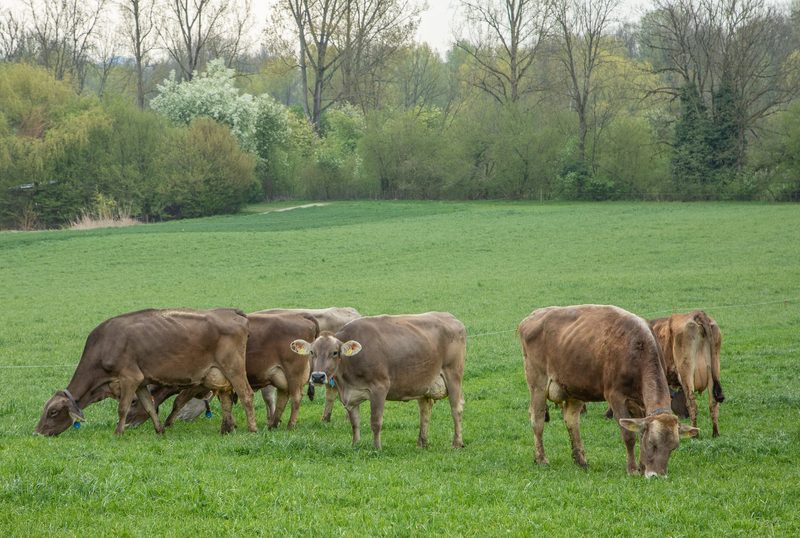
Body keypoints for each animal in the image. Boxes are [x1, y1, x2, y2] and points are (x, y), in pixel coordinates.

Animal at [35, 308, 257, 436]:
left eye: (53, 412)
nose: (37, 433)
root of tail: (232, 312)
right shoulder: (141, 382)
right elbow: (150, 407)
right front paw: (159, 430)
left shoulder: (129, 377)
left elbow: (122, 408)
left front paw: (118, 432)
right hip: (219, 374)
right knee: (227, 399)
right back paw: (226, 429)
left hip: (233, 368)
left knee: (246, 394)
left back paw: (252, 428)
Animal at [290, 312, 466, 449]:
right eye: (312, 352)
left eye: (334, 352)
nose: (317, 376)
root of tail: (451, 318)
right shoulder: (349, 395)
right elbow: (354, 422)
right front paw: (355, 445)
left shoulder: (379, 388)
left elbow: (375, 421)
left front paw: (376, 447)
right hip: (423, 383)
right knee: (425, 410)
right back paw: (421, 443)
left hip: (453, 375)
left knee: (456, 408)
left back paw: (457, 443)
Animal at [519, 305, 699, 477]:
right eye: (652, 443)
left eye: (673, 447)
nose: (657, 475)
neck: (636, 348)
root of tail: (533, 316)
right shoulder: (615, 396)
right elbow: (628, 435)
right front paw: (632, 469)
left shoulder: (638, 402)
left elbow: (639, 430)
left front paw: (642, 466)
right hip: (538, 383)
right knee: (537, 420)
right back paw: (541, 459)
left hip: (574, 388)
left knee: (571, 420)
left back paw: (581, 460)